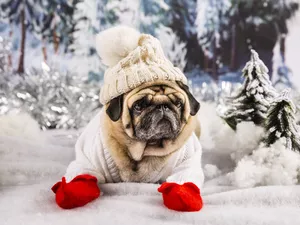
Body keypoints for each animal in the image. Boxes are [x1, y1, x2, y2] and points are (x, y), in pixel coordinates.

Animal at [52, 25, 205, 211]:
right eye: (139, 106)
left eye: (177, 103)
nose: (162, 106)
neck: (146, 149)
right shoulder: (89, 161)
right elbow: (82, 174)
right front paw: (72, 192)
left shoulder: (186, 161)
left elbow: (183, 178)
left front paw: (183, 195)